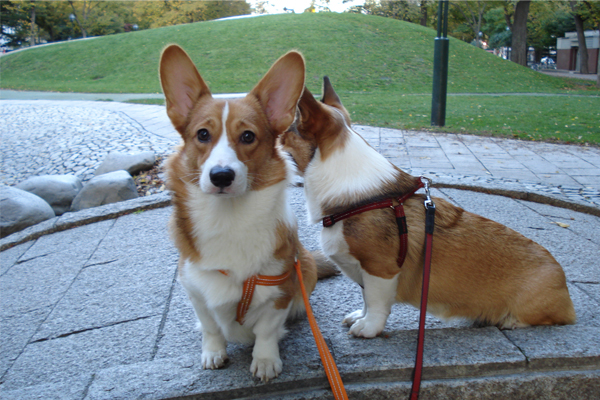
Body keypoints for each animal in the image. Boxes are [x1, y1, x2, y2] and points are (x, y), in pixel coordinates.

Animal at [159, 46, 336, 380]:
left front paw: (265, 361)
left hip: (304, 265)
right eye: (203, 134)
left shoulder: (280, 290)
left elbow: (266, 331)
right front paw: (213, 352)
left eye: (248, 137)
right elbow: (211, 327)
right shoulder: (195, 290)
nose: (221, 176)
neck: (229, 218)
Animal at [280, 77, 576, 338]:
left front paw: (368, 328)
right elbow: (365, 300)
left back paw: (511, 321)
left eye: (286, 133)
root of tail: (564, 287)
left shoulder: (380, 270)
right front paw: (359, 317)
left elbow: (375, 304)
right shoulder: (365, 272)